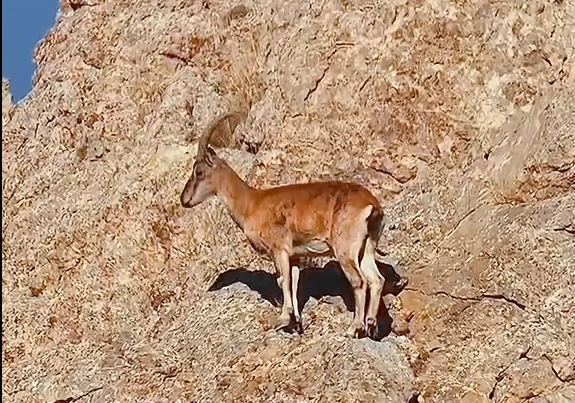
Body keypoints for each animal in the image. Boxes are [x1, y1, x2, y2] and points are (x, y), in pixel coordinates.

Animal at [181, 112, 392, 340]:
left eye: (199, 172)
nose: (184, 199)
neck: (251, 203)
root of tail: (371, 205)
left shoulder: (279, 249)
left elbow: (283, 281)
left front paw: (282, 319)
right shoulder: (295, 256)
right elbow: (294, 281)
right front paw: (296, 322)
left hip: (345, 249)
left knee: (359, 281)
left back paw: (354, 328)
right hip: (366, 248)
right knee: (376, 279)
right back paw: (371, 324)